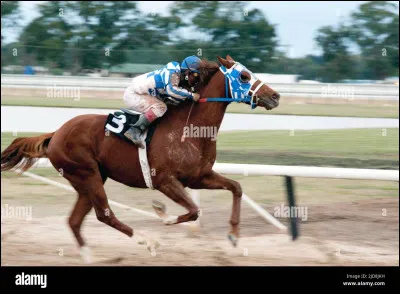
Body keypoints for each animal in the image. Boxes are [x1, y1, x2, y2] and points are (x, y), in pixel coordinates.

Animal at [0, 54, 282, 262]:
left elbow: (236, 187)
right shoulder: (164, 181)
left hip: (88, 180)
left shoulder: (199, 176)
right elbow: (193, 211)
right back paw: (148, 241)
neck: (191, 129)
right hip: (87, 174)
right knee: (104, 215)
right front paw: (162, 214)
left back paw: (89, 256)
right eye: (244, 76)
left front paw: (234, 235)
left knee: (75, 220)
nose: (275, 96)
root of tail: (56, 133)